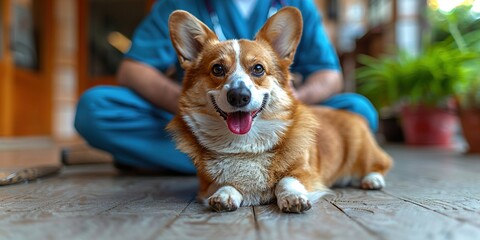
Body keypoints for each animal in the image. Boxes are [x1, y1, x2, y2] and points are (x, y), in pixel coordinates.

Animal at [167, 6, 392, 213]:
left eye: (258, 68)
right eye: (217, 69)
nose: (239, 96)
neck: (245, 146)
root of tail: (352, 116)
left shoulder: (305, 172)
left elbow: (287, 180)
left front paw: (293, 198)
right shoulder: (207, 183)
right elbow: (225, 183)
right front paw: (225, 194)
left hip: (362, 153)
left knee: (381, 164)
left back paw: (372, 180)